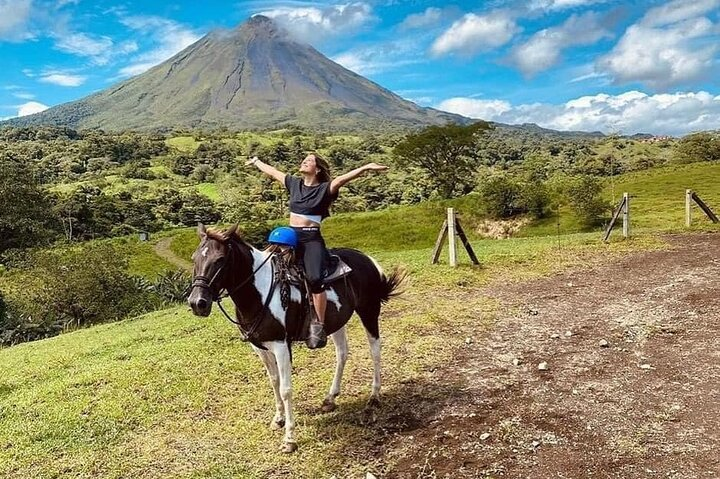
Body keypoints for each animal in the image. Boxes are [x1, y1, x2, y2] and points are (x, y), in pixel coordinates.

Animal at [186, 224, 404, 454]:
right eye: (194, 258)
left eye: (220, 259)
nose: (197, 303)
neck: (260, 292)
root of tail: (366, 258)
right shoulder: (260, 347)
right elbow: (274, 382)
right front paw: (278, 419)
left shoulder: (281, 346)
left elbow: (285, 389)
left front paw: (289, 438)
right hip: (337, 322)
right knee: (342, 353)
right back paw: (330, 398)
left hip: (369, 311)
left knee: (375, 350)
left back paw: (374, 397)